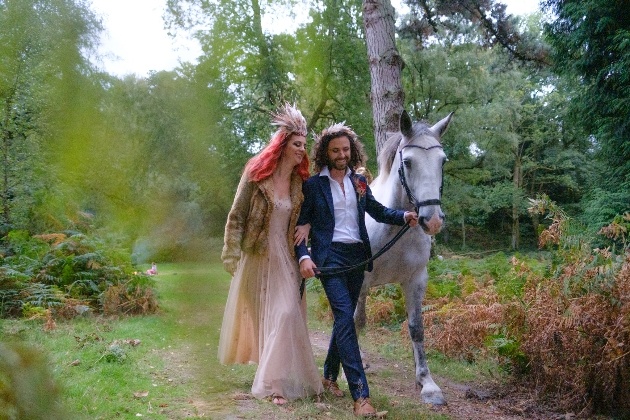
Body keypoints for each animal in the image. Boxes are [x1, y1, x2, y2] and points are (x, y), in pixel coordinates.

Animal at [356, 110, 454, 406]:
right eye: (408, 162)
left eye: (442, 161)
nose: (432, 220)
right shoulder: (359, 279)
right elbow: (353, 321)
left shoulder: (415, 280)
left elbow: (416, 328)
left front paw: (427, 383)